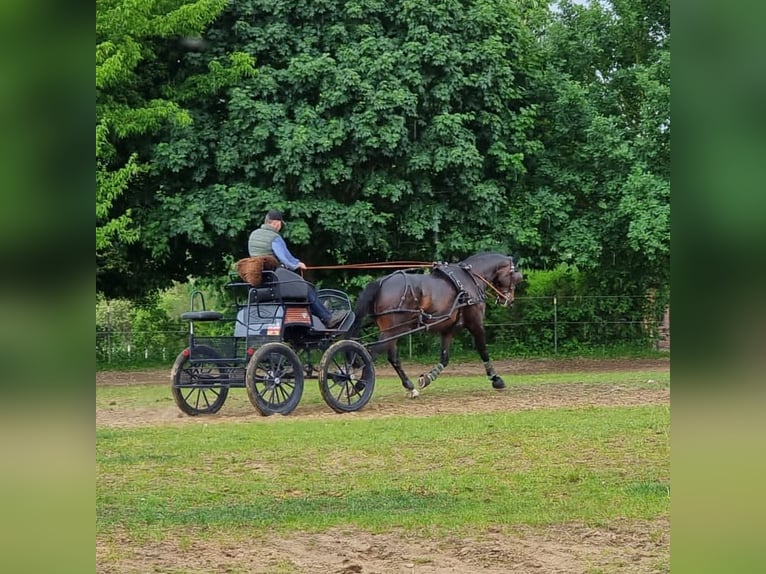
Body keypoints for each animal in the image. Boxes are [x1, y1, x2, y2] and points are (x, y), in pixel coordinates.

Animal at [350, 254, 524, 398]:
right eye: (515, 276)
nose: (509, 301)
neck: (470, 280)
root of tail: (381, 282)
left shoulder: (448, 330)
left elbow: (445, 358)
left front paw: (427, 378)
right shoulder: (476, 324)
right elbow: (483, 350)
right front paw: (496, 379)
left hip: (391, 331)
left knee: (392, 358)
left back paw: (410, 387)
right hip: (393, 330)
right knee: (372, 353)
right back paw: (358, 386)